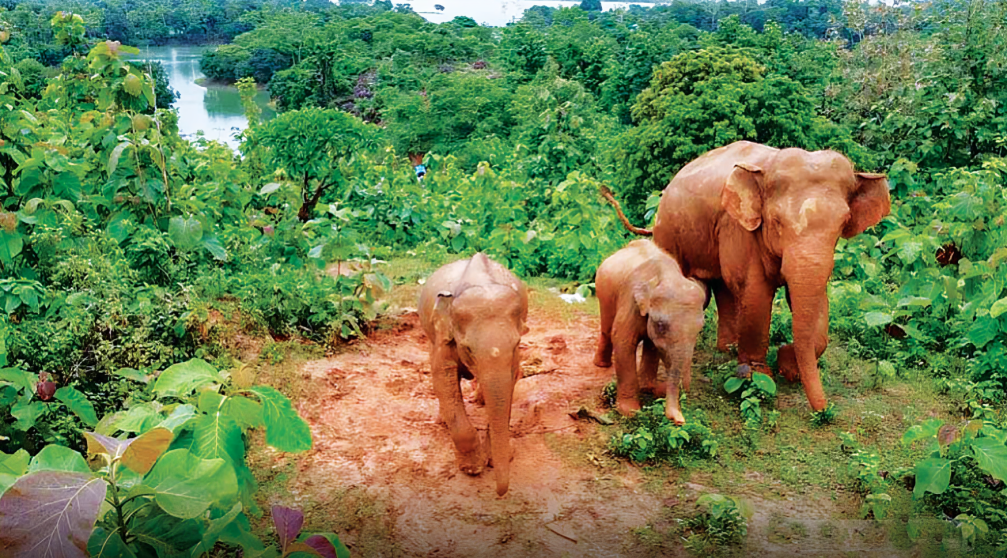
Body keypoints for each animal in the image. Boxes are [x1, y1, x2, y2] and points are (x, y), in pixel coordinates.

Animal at [418, 253, 529, 496]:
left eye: (516, 345)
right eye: (468, 349)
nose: (500, 493)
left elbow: (511, 380)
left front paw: (496, 458)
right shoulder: (444, 337)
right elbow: (442, 376)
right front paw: (472, 469)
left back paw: (479, 400)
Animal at [594, 240, 707, 425]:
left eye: (700, 329)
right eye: (661, 325)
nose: (680, 421)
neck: (667, 277)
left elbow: (653, 344)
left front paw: (648, 389)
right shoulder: (631, 301)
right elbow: (623, 341)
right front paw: (630, 412)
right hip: (603, 293)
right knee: (607, 327)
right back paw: (601, 364)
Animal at [603, 141, 890, 411]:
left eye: (842, 224)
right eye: (777, 222)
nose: (823, 410)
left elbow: (817, 300)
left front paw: (788, 367)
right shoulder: (739, 226)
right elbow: (755, 292)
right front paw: (757, 375)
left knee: (723, 288)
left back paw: (728, 349)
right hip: (669, 230)